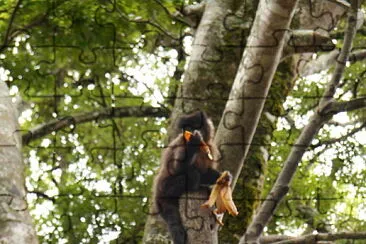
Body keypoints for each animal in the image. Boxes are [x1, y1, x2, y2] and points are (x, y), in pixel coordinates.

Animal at [152, 111, 220, 244]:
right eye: (188, 128)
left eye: (194, 127)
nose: (191, 132)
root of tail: (157, 195)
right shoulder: (182, 142)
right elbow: (176, 169)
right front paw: (193, 142)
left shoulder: (211, 148)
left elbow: (207, 173)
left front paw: (220, 178)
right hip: (165, 189)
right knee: (193, 175)